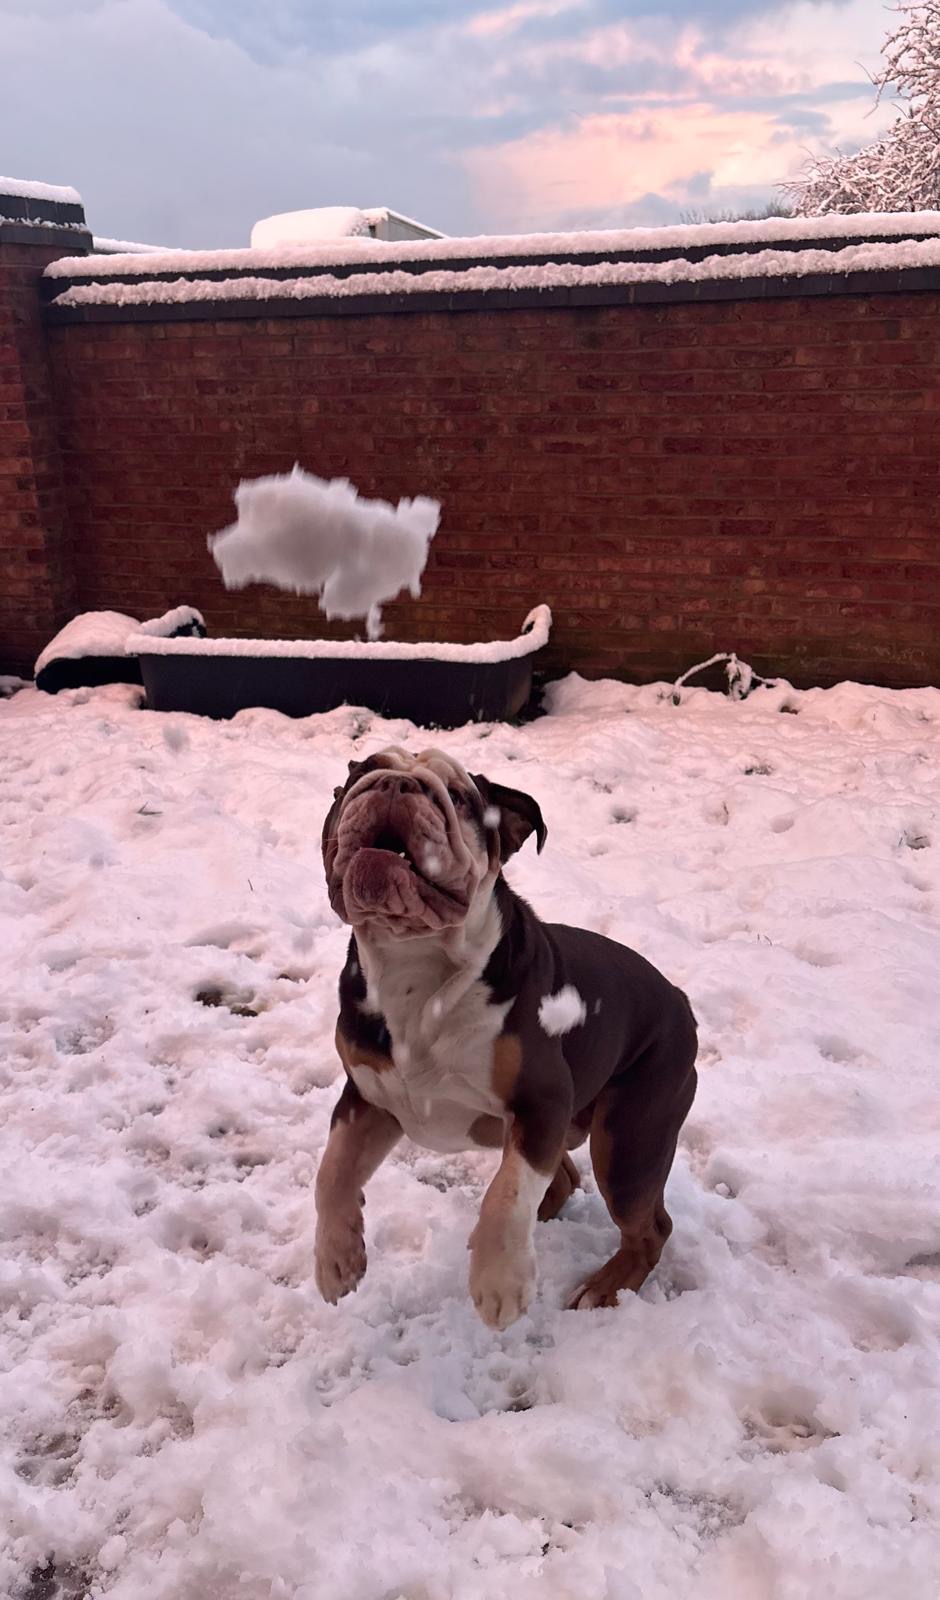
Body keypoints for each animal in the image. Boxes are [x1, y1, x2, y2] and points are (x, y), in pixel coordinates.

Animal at [316, 746, 697, 1328]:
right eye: (362, 773)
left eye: (459, 797)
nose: (397, 784)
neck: (413, 964)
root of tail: (681, 1002)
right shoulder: (368, 1098)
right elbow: (332, 1172)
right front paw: (336, 1261)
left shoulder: (541, 1101)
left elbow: (506, 1194)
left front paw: (501, 1283)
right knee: (563, 1178)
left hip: (630, 1140)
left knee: (650, 1227)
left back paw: (602, 1289)